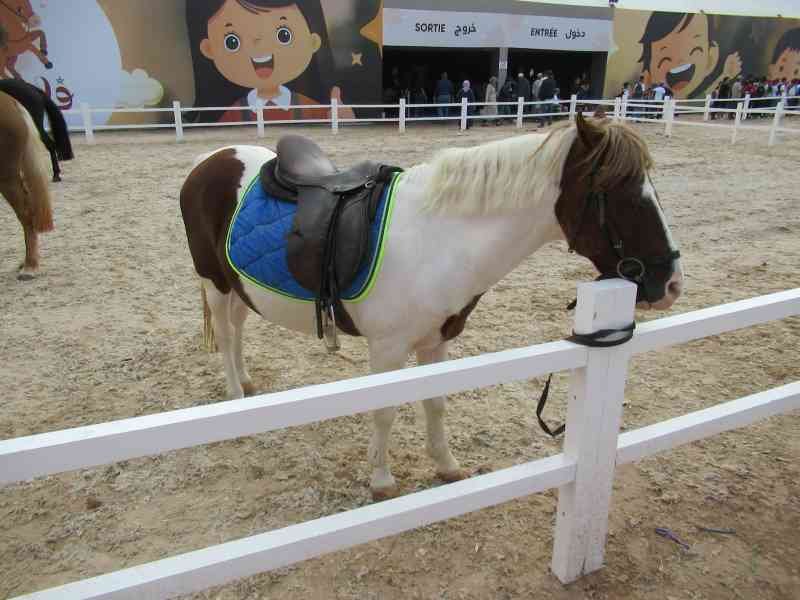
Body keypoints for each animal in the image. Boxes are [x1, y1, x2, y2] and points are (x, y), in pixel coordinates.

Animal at [179, 114, 684, 500]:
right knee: (226, 331)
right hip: (214, 281)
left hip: (239, 285)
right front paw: (382, 480)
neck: (438, 237)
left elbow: (436, 402)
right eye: (622, 192)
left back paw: (246, 383)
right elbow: (385, 410)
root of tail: (212, 158)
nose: (671, 283)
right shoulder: (387, 349)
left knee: (238, 329)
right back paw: (235, 396)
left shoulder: (436, 341)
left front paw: (446, 465)